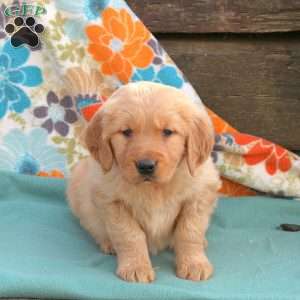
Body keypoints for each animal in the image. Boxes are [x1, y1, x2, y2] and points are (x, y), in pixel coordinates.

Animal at [67, 81, 220, 282]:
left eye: (168, 132)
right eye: (126, 132)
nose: (146, 166)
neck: (154, 188)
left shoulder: (199, 196)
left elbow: (189, 232)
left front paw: (194, 264)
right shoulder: (111, 202)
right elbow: (129, 235)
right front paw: (136, 267)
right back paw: (108, 243)